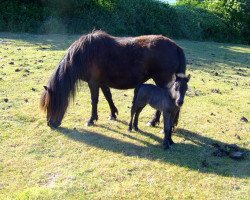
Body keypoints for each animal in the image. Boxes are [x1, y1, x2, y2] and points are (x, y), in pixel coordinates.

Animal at [40, 30, 186, 129]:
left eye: (51, 104)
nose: (50, 123)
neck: (85, 54)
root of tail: (176, 47)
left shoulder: (93, 83)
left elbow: (94, 100)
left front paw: (91, 119)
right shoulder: (102, 82)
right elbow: (108, 97)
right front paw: (113, 114)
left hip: (162, 81)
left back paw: (153, 121)